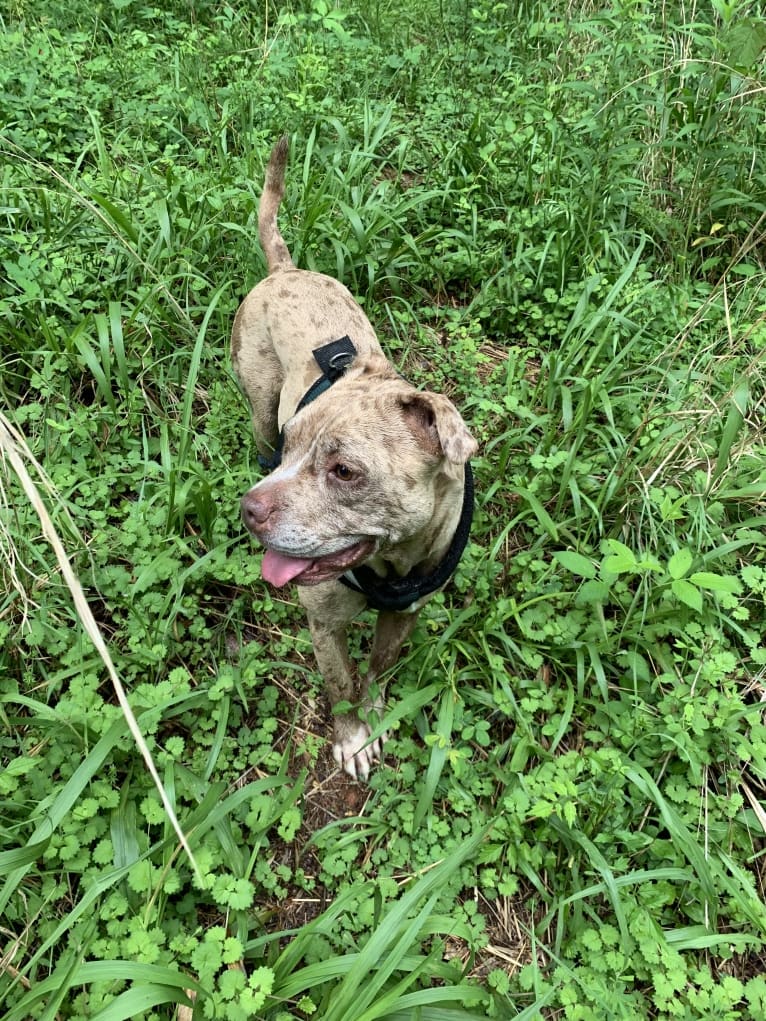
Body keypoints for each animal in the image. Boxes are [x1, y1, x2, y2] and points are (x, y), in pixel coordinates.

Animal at [230, 133, 477, 771]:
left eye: (344, 471)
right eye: (294, 445)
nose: (249, 510)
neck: (393, 565)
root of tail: (285, 268)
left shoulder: (403, 617)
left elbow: (376, 673)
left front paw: (374, 715)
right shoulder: (324, 625)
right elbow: (339, 684)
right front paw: (350, 738)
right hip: (258, 400)